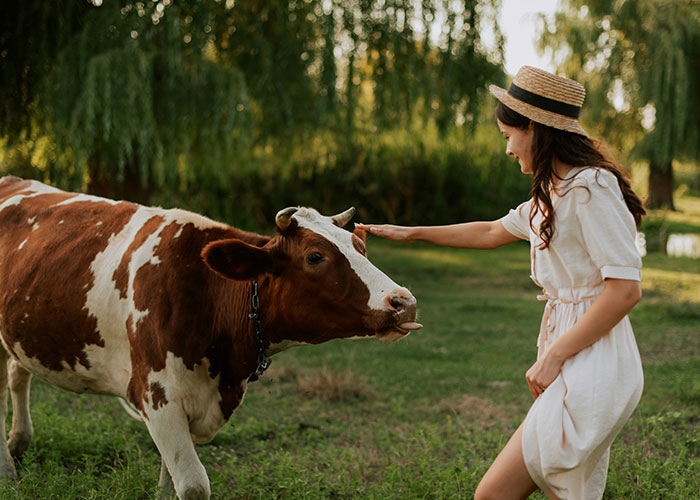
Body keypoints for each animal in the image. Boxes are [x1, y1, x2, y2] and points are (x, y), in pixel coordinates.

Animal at [0, 176, 420, 500]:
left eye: (361, 247)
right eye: (315, 256)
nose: (404, 302)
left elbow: (170, 482)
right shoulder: (156, 395)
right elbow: (193, 485)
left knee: (17, 374)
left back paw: (19, 442)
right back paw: (8, 472)